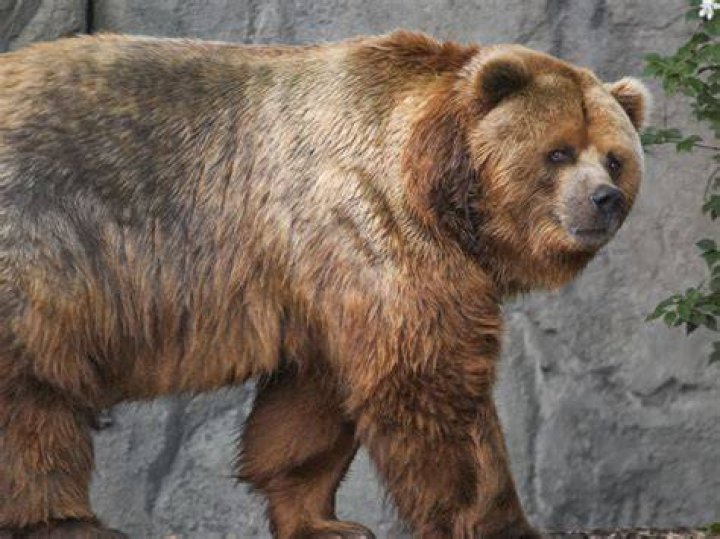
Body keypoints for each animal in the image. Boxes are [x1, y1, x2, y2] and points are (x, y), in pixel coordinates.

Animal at [0, 30, 648, 538]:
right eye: (558, 152)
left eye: (615, 159)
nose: (604, 199)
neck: (434, 185)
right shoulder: (366, 218)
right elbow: (428, 379)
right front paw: (496, 518)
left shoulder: (323, 279)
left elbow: (313, 403)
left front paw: (325, 521)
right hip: (40, 245)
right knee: (31, 399)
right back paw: (63, 521)